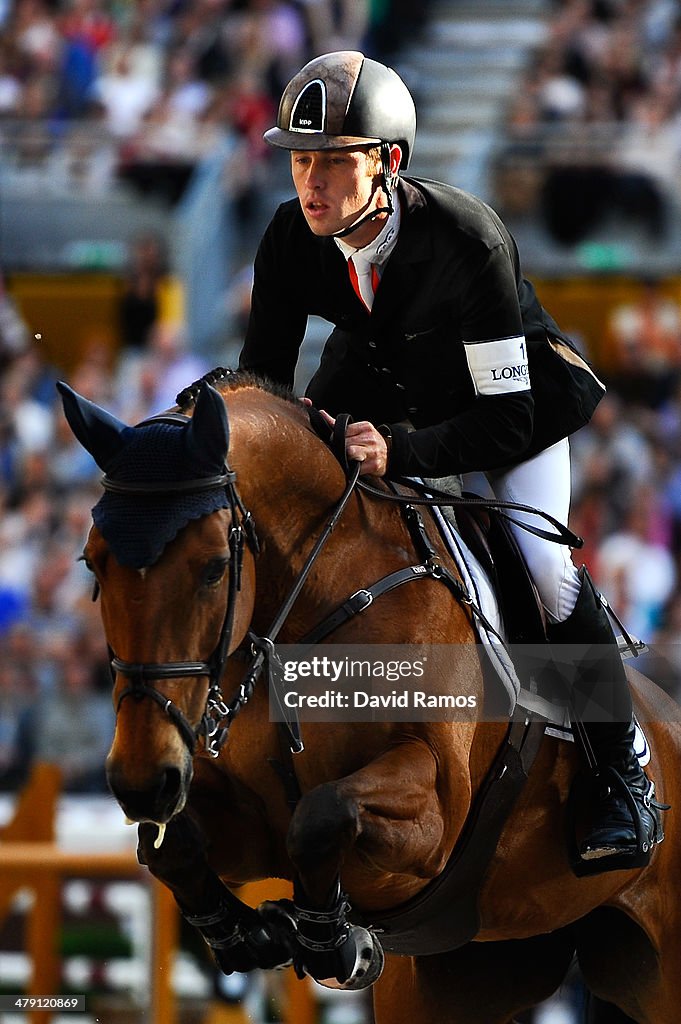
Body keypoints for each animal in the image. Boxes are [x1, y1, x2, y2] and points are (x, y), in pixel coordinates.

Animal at [57, 370, 679, 1024]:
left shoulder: (436, 812)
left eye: (214, 566)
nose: (140, 783)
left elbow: (323, 814)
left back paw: (622, 814)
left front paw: (331, 940)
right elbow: (176, 843)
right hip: (473, 971)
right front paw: (251, 937)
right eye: (92, 563)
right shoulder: (244, 822)